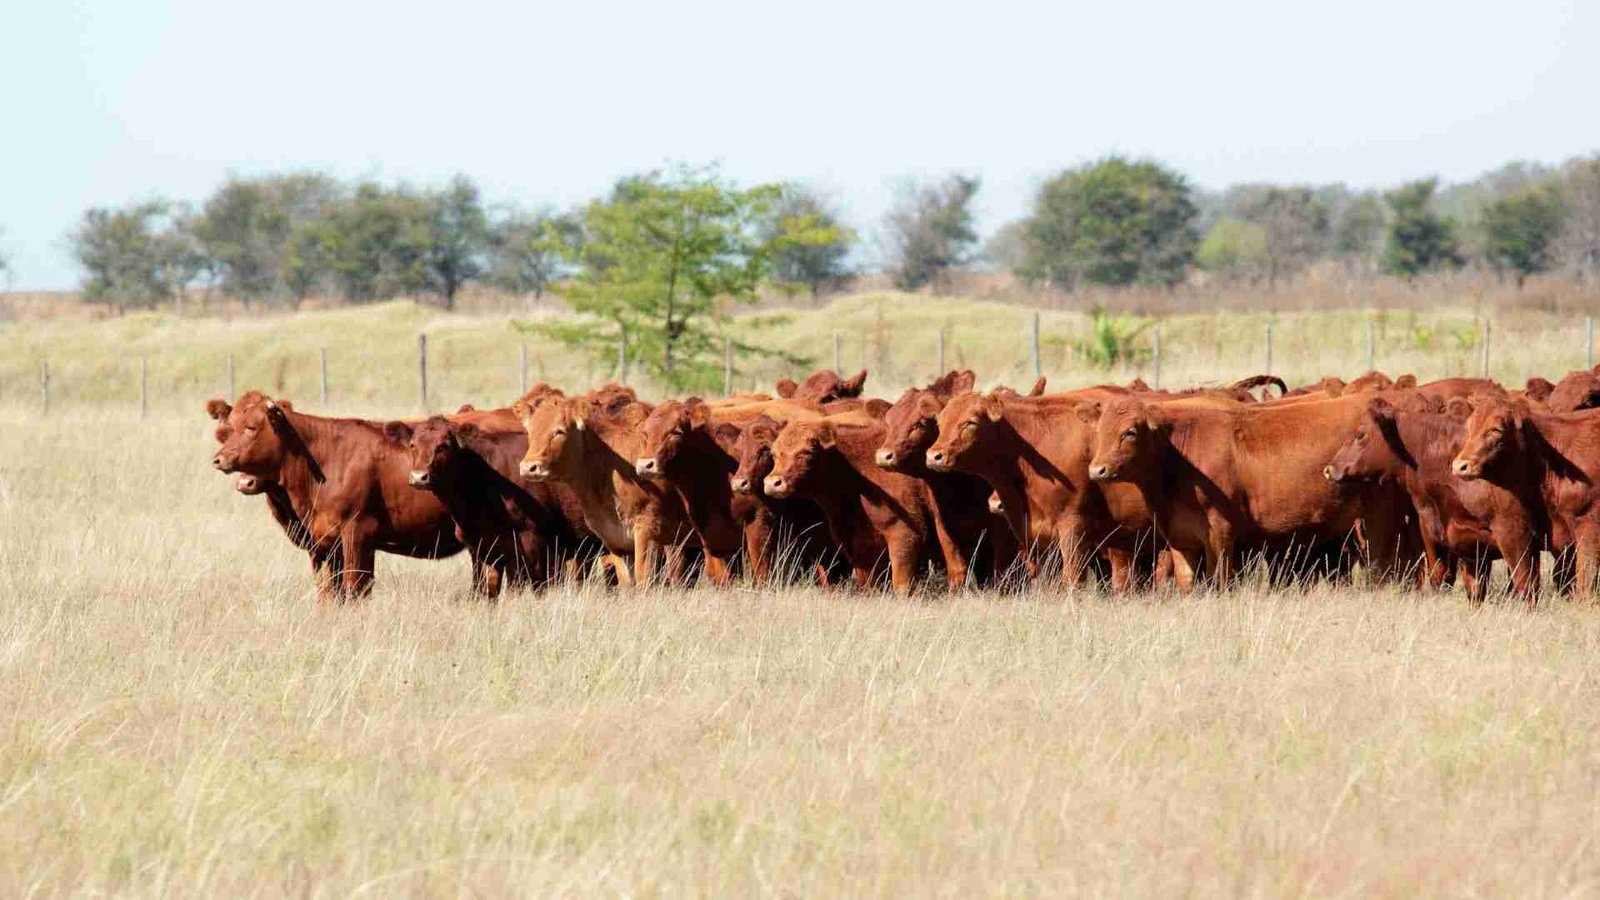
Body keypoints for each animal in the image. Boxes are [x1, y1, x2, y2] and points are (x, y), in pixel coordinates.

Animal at [390, 413, 601, 595]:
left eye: (444, 446)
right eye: (412, 445)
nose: (419, 477)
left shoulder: (531, 542)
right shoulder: (485, 548)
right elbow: (489, 590)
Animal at [1088, 390, 1414, 589]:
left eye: (1130, 432)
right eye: (1099, 432)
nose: (1096, 470)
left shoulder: (1221, 534)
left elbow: (1220, 582)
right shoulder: (1180, 539)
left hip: (1380, 515)